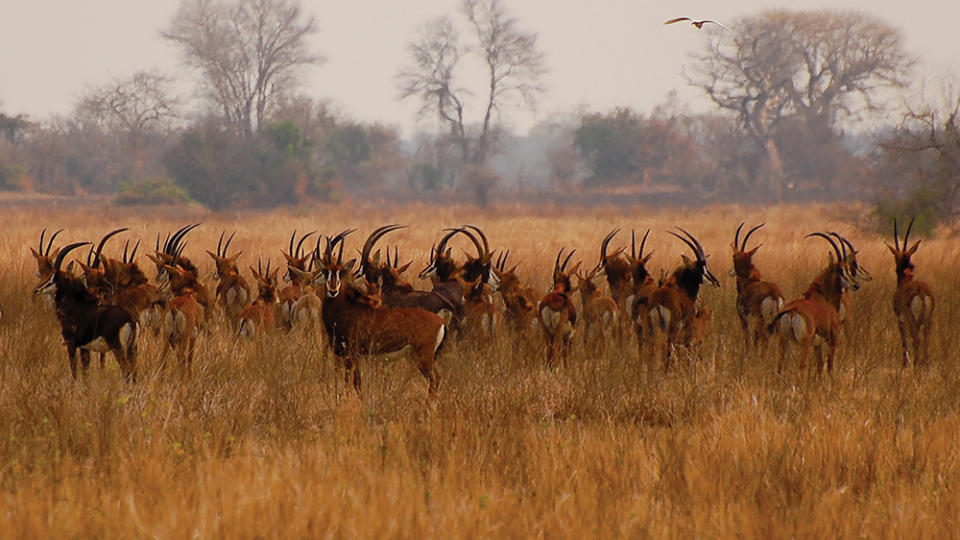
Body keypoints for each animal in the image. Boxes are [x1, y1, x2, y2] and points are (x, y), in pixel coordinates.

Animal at [33, 240, 137, 380]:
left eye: (54, 277)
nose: (37, 290)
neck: (77, 308)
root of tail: (130, 319)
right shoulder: (85, 348)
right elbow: (85, 373)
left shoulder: (71, 344)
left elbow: (74, 372)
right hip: (132, 348)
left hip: (117, 347)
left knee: (126, 371)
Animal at [316, 230, 448, 394]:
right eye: (325, 272)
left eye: (340, 273)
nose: (333, 291)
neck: (345, 307)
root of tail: (441, 322)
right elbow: (351, 382)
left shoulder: (352, 354)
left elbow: (355, 383)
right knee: (437, 378)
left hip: (424, 356)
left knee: (434, 380)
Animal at [644, 228, 720, 372]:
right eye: (702, 269)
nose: (716, 282)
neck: (682, 288)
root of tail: (658, 304)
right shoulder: (689, 324)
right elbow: (688, 347)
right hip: (672, 329)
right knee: (668, 349)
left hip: (652, 330)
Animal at [772, 232, 856, 376]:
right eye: (840, 270)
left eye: (848, 269)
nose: (856, 285)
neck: (823, 298)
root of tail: (792, 310)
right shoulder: (834, 337)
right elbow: (830, 366)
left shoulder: (817, 344)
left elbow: (820, 365)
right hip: (805, 343)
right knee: (802, 366)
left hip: (784, 340)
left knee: (779, 366)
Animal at [884, 219, 936, 368]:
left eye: (896, 256)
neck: (906, 280)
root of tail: (922, 292)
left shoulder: (900, 319)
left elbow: (904, 339)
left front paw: (905, 363)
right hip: (928, 319)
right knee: (925, 337)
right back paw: (925, 363)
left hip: (911, 319)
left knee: (916, 338)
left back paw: (916, 363)